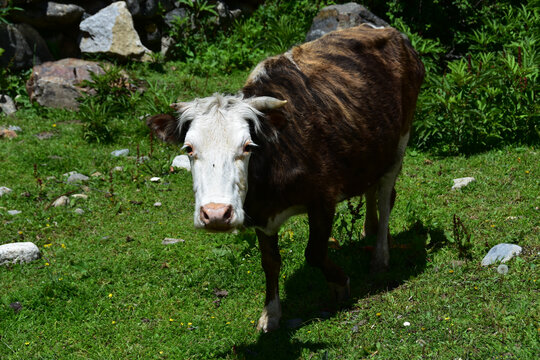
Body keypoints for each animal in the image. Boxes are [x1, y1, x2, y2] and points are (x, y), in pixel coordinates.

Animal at [149, 24, 426, 332]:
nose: (217, 215)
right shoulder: (260, 216)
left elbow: (314, 252)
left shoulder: (323, 199)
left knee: (386, 196)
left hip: (399, 143)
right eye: (188, 148)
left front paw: (340, 283)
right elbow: (270, 262)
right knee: (371, 188)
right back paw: (372, 229)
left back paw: (380, 256)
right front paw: (270, 314)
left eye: (247, 146)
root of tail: (390, 31)